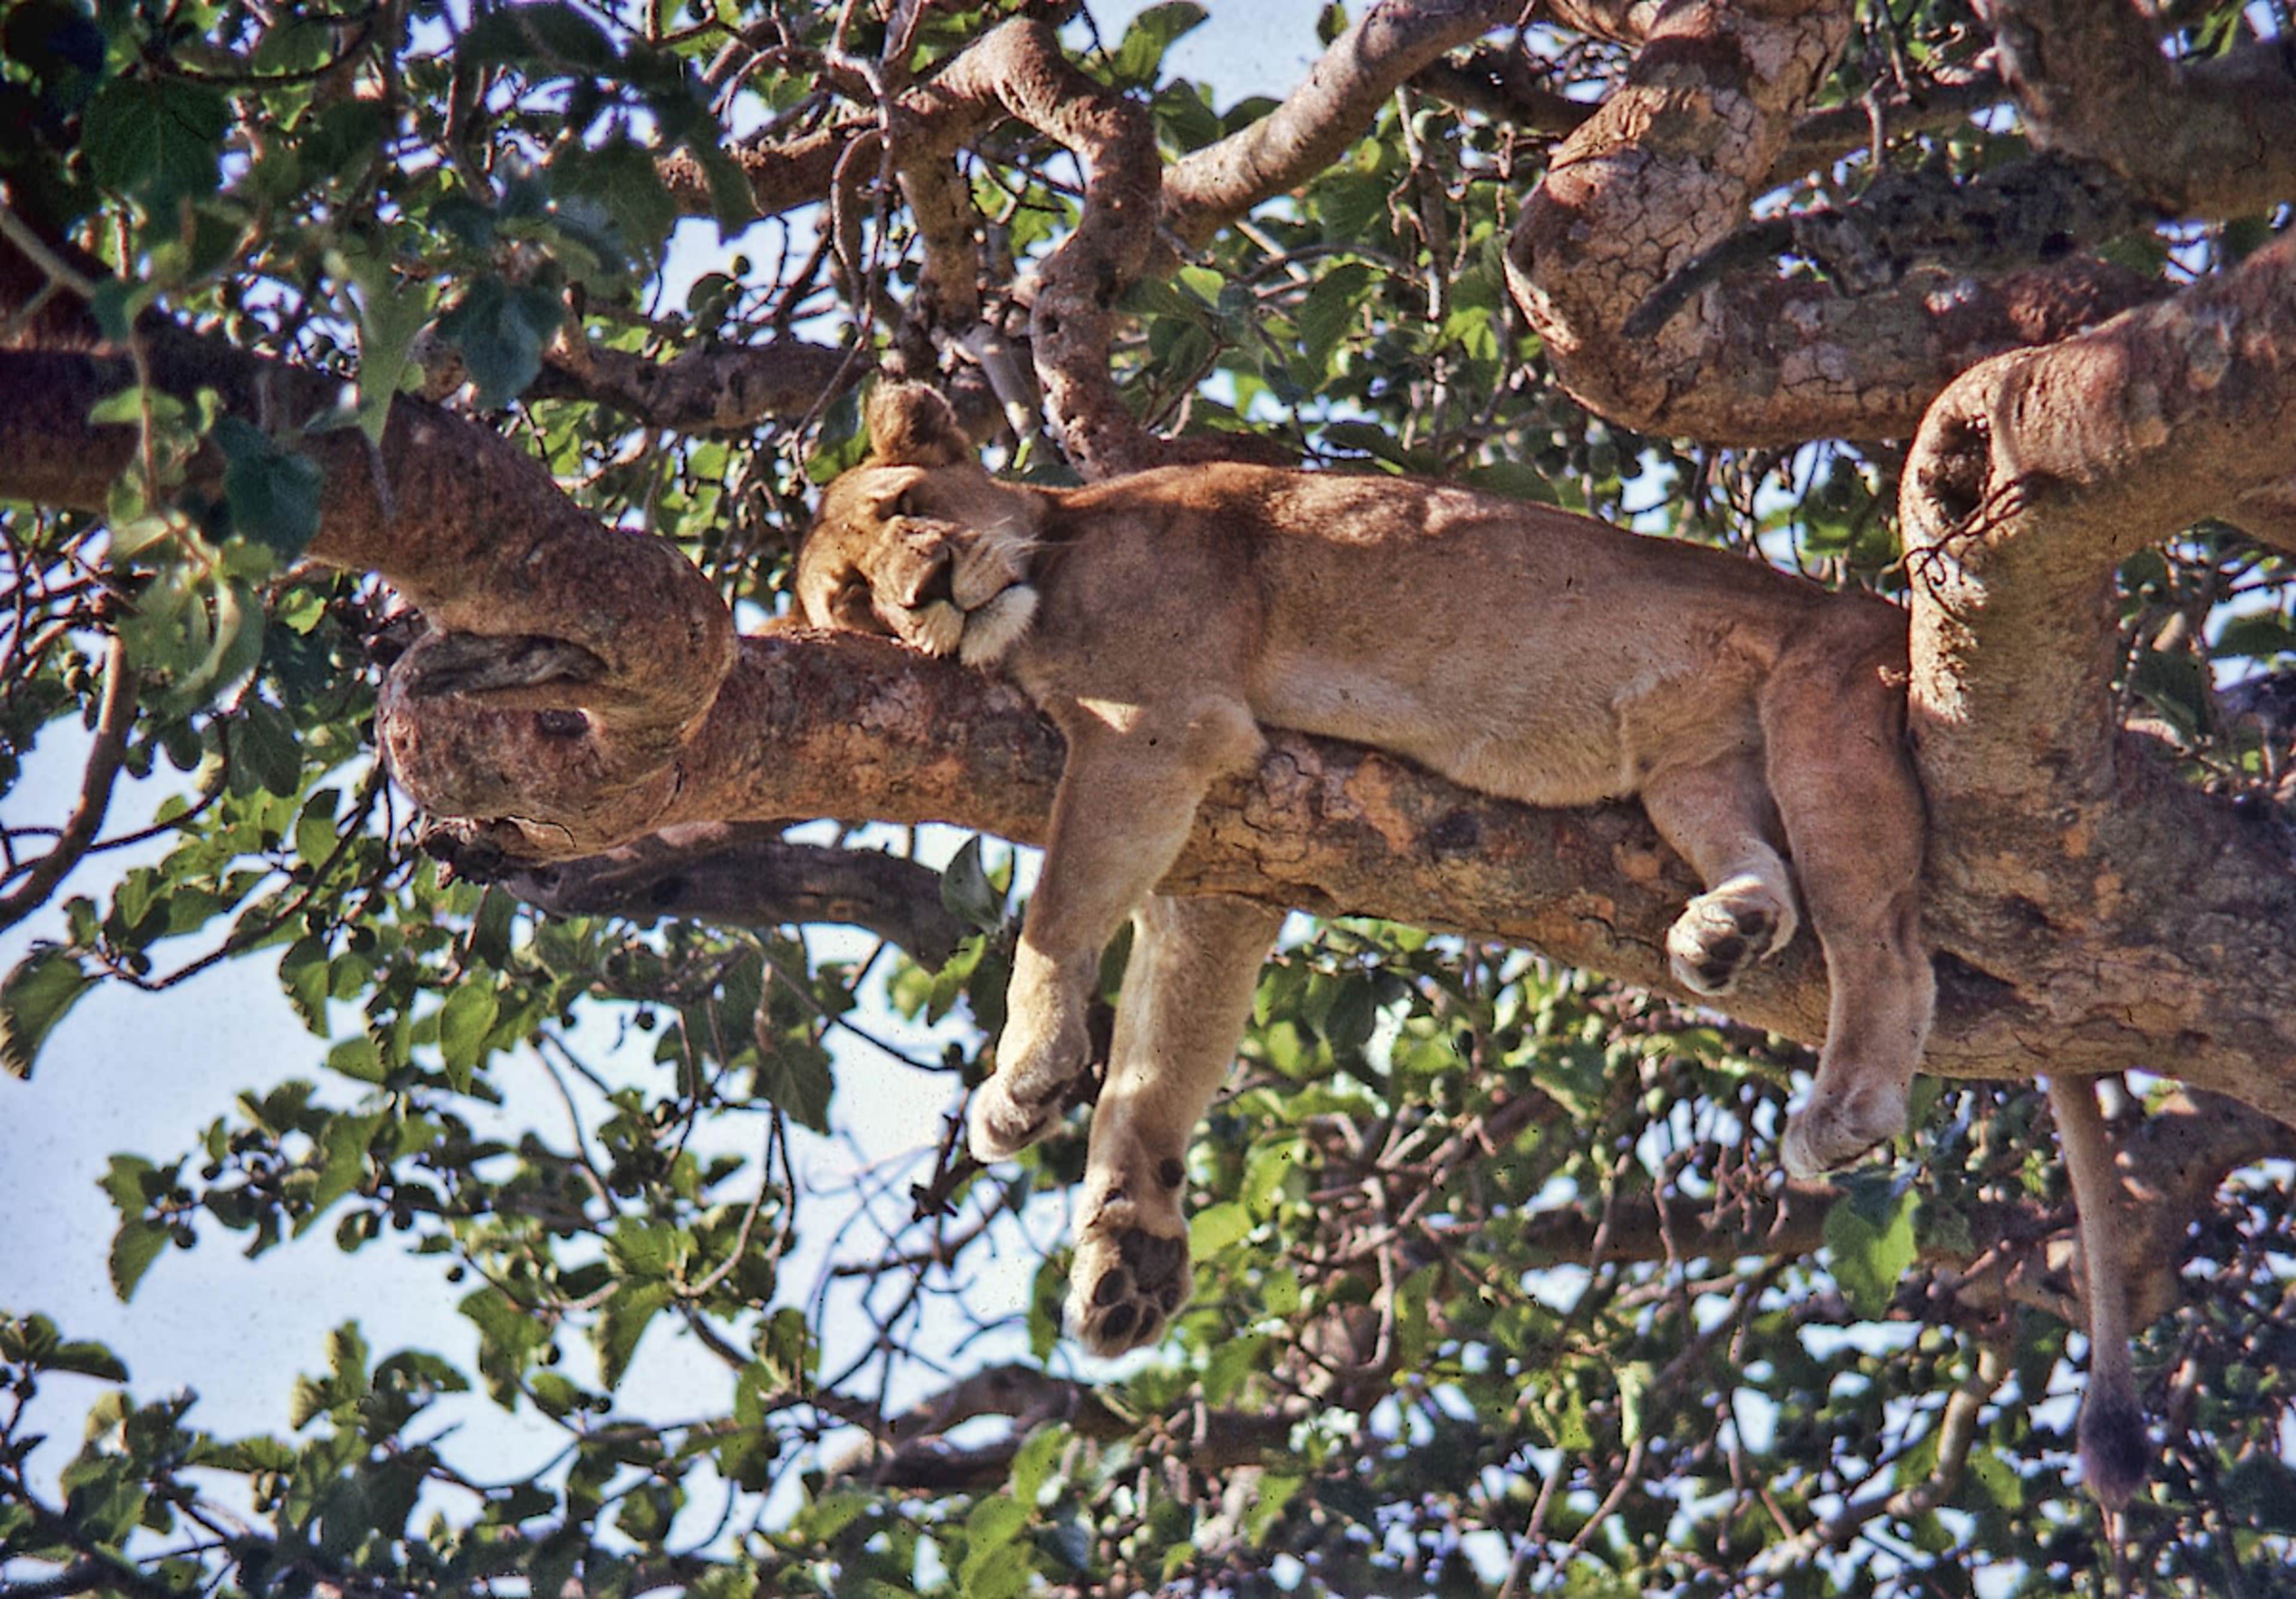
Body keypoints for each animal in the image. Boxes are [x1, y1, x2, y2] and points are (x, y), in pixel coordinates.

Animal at [797, 383, 1936, 1358]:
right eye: (853, 599)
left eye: (907, 505)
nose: (925, 591)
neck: (1057, 546)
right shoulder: (1215, 873)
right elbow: (1156, 1061)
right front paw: (1131, 1247)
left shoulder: (1153, 727)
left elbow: (1054, 919)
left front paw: (1022, 1076)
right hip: (1691, 775)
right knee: (1762, 864)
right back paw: (1725, 928)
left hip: (1823, 704)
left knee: (1887, 944)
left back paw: (1846, 1109)